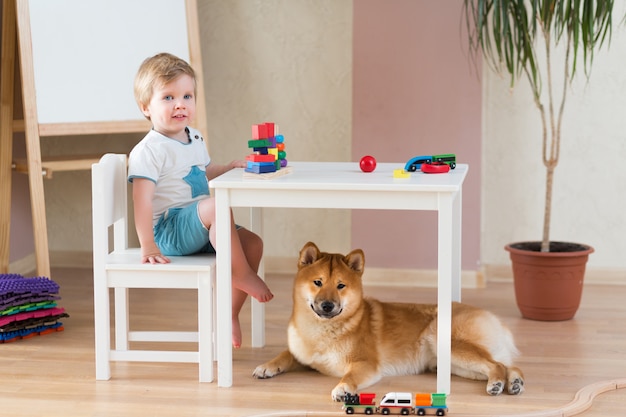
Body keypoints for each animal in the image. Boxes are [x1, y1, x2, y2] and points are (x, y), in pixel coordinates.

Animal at [251, 242, 524, 398]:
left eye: (340, 286)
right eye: (317, 282)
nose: (328, 305)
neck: (321, 332)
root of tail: (494, 319)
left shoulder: (365, 365)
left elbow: (348, 377)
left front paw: (343, 389)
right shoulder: (301, 355)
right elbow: (284, 356)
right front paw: (266, 366)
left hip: (447, 344)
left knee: (497, 366)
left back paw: (498, 384)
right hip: (454, 364)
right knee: (507, 365)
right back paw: (514, 382)